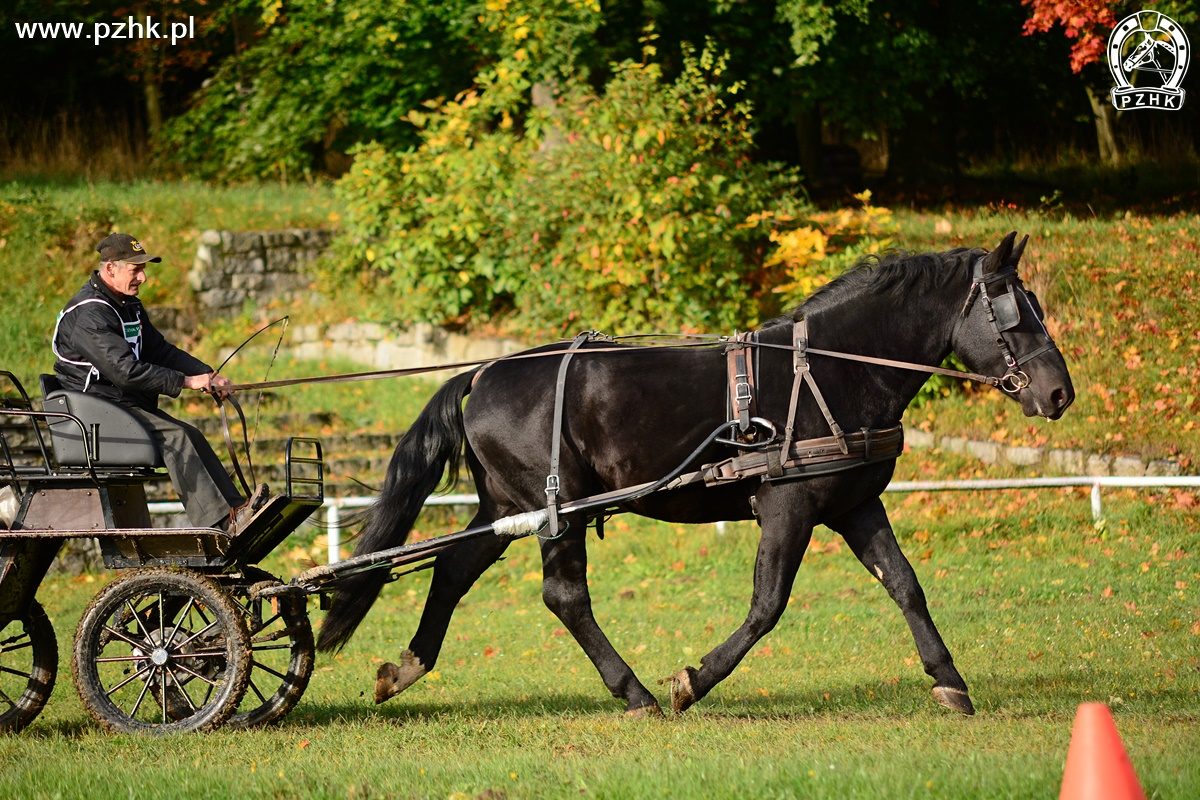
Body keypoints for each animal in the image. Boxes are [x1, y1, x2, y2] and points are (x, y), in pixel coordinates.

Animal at [319, 230, 1080, 714]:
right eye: (1014, 314)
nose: (1059, 394)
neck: (828, 369)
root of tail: (481, 373)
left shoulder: (855, 505)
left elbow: (906, 586)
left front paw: (950, 682)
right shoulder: (788, 507)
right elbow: (768, 605)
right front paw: (693, 680)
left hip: (508, 506)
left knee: (453, 570)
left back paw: (406, 668)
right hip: (556, 511)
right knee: (564, 597)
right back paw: (636, 694)